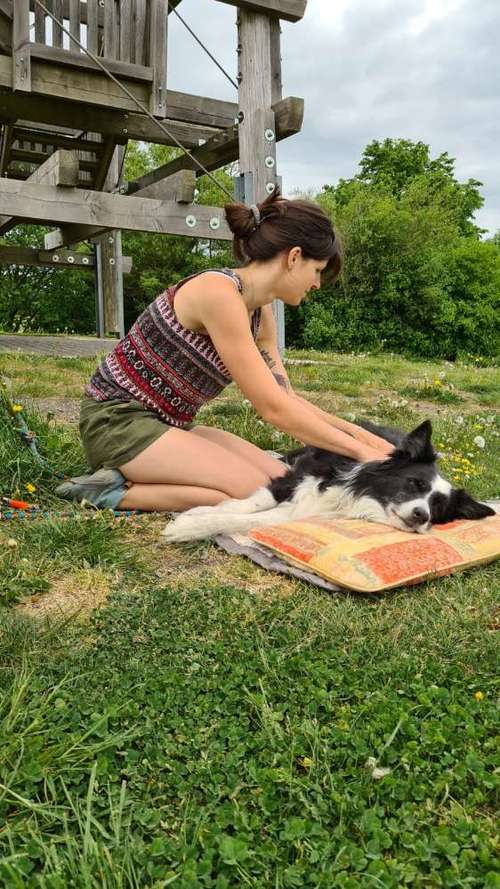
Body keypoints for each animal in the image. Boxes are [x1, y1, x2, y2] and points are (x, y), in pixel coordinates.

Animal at [164, 422, 496, 544]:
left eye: (438, 508)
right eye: (415, 483)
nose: (421, 515)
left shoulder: (304, 514)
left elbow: (247, 520)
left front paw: (189, 526)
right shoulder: (301, 474)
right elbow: (255, 501)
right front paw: (197, 515)